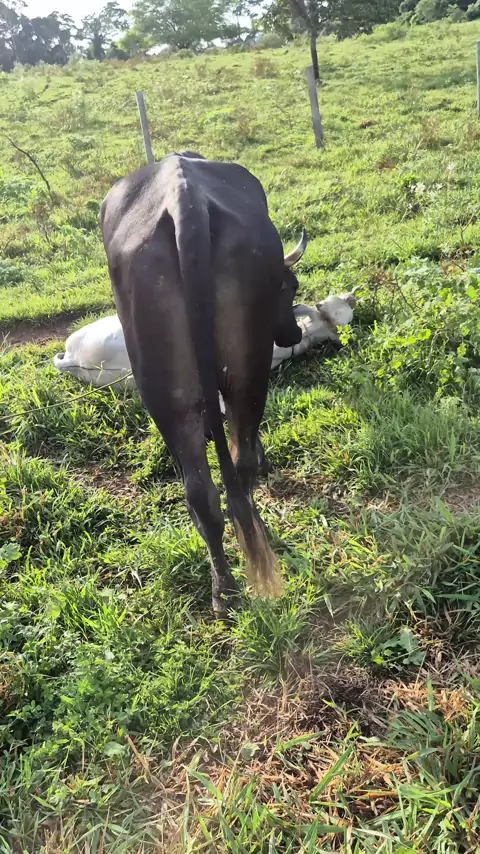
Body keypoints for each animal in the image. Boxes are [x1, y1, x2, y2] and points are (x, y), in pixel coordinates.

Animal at [100, 151, 307, 618]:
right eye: (289, 286)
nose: (292, 334)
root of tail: (185, 199)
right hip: (247, 369)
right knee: (234, 470)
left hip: (167, 390)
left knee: (203, 488)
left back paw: (224, 587)